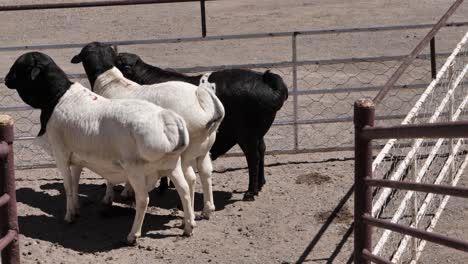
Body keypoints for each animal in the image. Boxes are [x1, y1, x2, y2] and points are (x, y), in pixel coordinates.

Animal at [3, 52, 195, 245]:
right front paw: (76, 209)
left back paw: (133, 235)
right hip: (172, 165)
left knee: (143, 200)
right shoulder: (77, 157)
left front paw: (69, 216)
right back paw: (188, 226)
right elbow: (75, 183)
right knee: (184, 190)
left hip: (136, 170)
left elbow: (67, 185)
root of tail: (166, 118)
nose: (5, 79)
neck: (57, 97)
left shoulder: (60, 154)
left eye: (19, 65)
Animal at [70, 41, 226, 219]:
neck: (111, 83)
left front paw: (109, 197)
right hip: (204, 147)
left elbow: (110, 176)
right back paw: (207, 210)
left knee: (191, 178)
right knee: (206, 172)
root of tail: (207, 106)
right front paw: (127, 191)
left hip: (187, 151)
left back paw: (187, 211)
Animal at [114, 51, 288, 200]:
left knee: (254, 157)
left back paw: (251, 192)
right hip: (258, 135)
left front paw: (162, 188)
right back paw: (261, 184)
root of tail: (265, 81)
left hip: (247, 136)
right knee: (262, 150)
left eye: (119, 63)